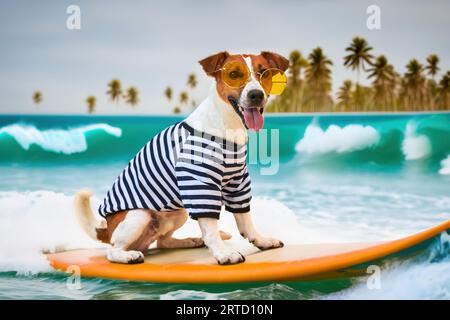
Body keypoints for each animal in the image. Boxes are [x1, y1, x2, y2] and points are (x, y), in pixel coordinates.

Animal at [74, 51, 288, 264]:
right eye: (234, 74)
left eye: (264, 73)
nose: (256, 95)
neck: (227, 127)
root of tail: (105, 230)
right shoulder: (200, 185)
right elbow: (211, 228)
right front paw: (223, 253)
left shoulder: (238, 184)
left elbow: (246, 220)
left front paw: (261, 240)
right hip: (139, 216)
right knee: (113, 250)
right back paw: (128, 255)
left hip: (178, 213)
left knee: (163, 241)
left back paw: (191, 240)